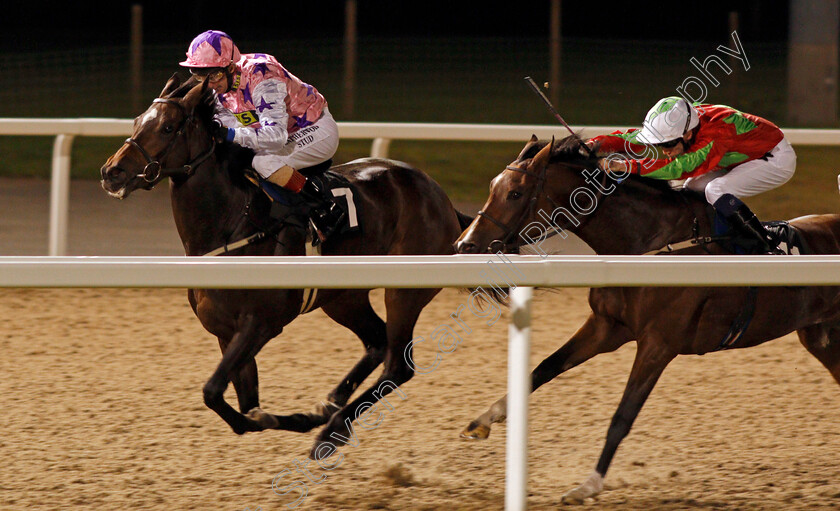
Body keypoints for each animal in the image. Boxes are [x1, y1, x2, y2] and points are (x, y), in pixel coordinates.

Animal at [100, 75, 472, 460]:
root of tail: (440, 198)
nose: (112, 172)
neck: (233, 225)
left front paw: (299, 419)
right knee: (377, 342)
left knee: (398, 365)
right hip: (343, 298)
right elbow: (242, 405)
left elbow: (215, 392)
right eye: (137, 122)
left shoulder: (261, 323)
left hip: (404, 292)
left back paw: (332, 429)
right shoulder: (224, 331)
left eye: (168, 127)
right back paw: (331, 406)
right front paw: (300, 415)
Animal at [456, 135, 840, 504]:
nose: (465, 245)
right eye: (492, 187)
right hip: (820, 337)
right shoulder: (606, 327)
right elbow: (543, 368)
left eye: (515, 193)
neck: (649, 245)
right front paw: (484, 418)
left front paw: (588, 485)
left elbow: (622, 416)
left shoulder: (658, 344)